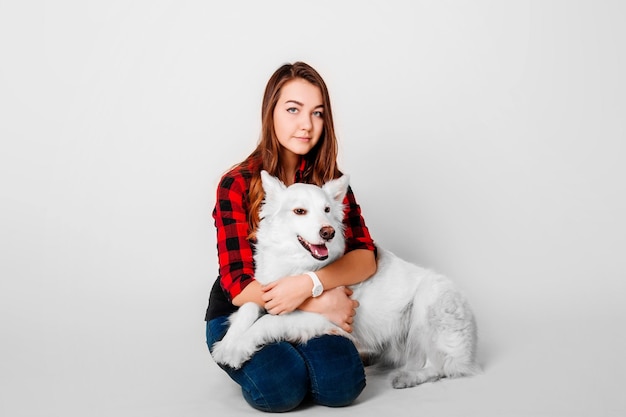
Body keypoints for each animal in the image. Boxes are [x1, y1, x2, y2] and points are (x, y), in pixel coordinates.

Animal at [210, 170, 478, 386]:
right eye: (300, 211)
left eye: (327, 210)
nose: (327, 232)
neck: (298, 264)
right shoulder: (266, 289)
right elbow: (246, 309)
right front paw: (227, 343)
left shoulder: (322, 316)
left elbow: (268, 321)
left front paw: (239, 348)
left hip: (428, 305)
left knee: (439, 366)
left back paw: (408, 377)